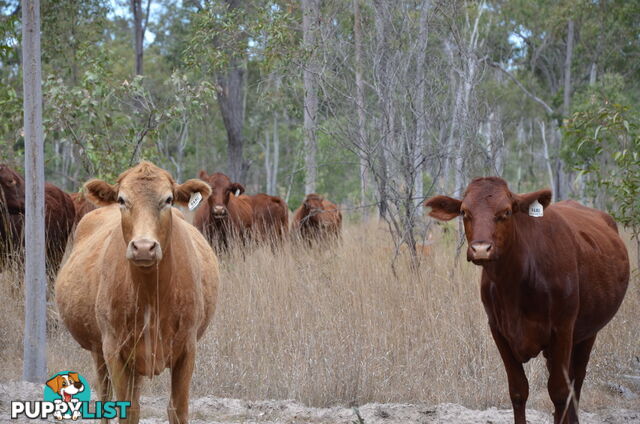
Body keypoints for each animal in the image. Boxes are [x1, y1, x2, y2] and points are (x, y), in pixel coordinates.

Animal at [53, 162, 218, 424]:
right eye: (122, 199)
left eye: (168, 199)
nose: (143, 247)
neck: (152, 295)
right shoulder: (114, 350)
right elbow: (127, 410)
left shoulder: (187, 349)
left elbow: (177, 409)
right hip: (99, 350)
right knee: (106, 398)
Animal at [424, 176, 632, 424]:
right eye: (464, 212)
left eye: (505, 212)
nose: (481, 249)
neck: (514, 286)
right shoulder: (498, 330)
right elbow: (518, 390)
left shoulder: (562, 329)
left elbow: (559, 392)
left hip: (588, 333)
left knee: (576, 382)